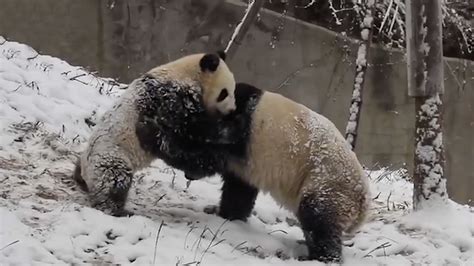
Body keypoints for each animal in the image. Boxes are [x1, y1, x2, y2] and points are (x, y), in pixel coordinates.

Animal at [74, 52, 237, 216]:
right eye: (224, 93)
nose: (231, 110)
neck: (187, 74)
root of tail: (85, 174)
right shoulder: (168, 98)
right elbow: (181, 135)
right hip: (111, 155)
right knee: (114, 180)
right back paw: (116, 209)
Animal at [181, 83, 370, 264]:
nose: (188, 177)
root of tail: (363, 200)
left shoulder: (238, 130)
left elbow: (213, 150)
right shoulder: (245, 164)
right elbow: (239, 189)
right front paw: (228, 216)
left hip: (327, 184)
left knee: (318, 220)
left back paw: (320, 258)